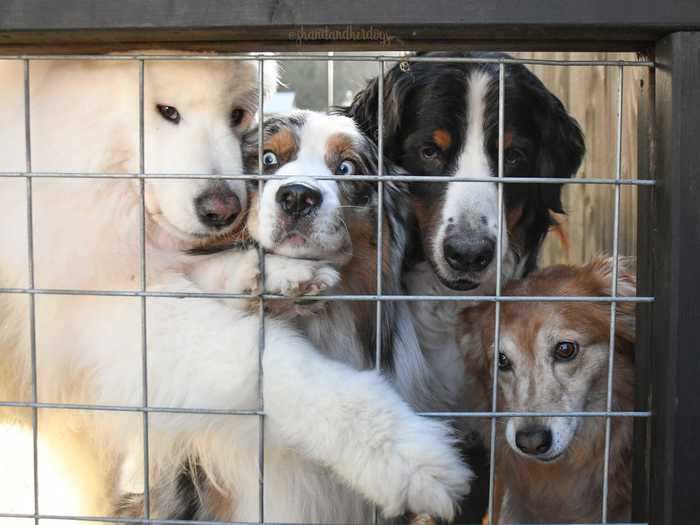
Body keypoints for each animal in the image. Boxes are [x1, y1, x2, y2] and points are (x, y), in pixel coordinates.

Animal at [1, 55, 470, 520]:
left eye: (346, 168)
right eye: (268, 158)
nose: (296, 197)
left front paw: (276, 275)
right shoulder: (95, 302)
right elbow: (267, 358)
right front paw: (409, 459)